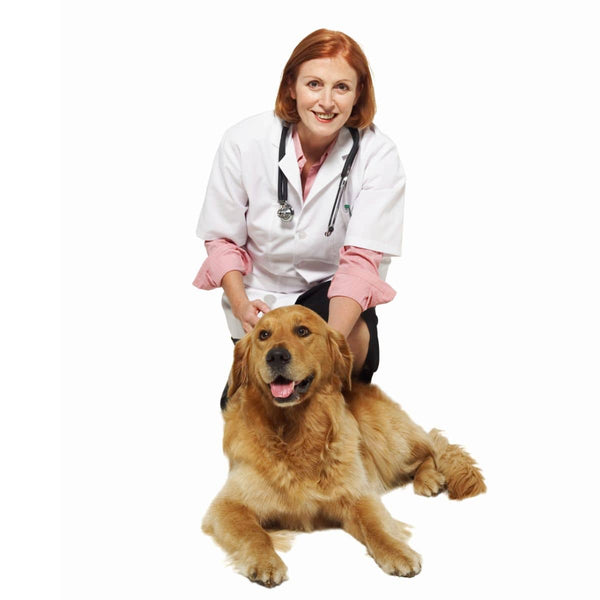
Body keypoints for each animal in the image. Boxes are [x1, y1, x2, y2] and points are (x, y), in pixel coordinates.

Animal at [204, 304, 486, 584]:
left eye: (302, 331)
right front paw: (265, 561)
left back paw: (428, 478)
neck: (295, 431)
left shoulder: (357, 494)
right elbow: (253, 533)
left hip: (387, 439)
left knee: (432, 449)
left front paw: (397, 552)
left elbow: (376, 525)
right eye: (263, 335)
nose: (276, 356)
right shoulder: (227, 505)